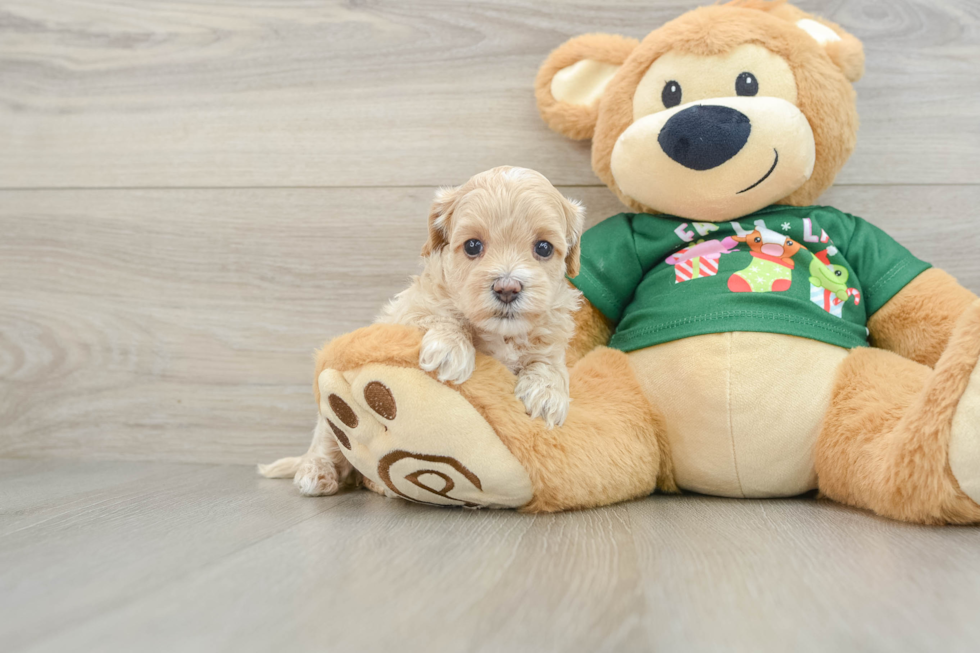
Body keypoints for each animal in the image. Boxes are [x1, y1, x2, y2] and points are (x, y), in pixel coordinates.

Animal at [256, 167, 584, 494]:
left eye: (543, 247)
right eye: (473, 246)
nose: (507, 288)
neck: (500, 333)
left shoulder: (551, 336)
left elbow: (549, 363)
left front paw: (546, 394)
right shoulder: (410, 311)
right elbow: (442, 313)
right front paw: (450, 350)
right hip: (328, 420)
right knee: (327, 443)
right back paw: (316, 472)